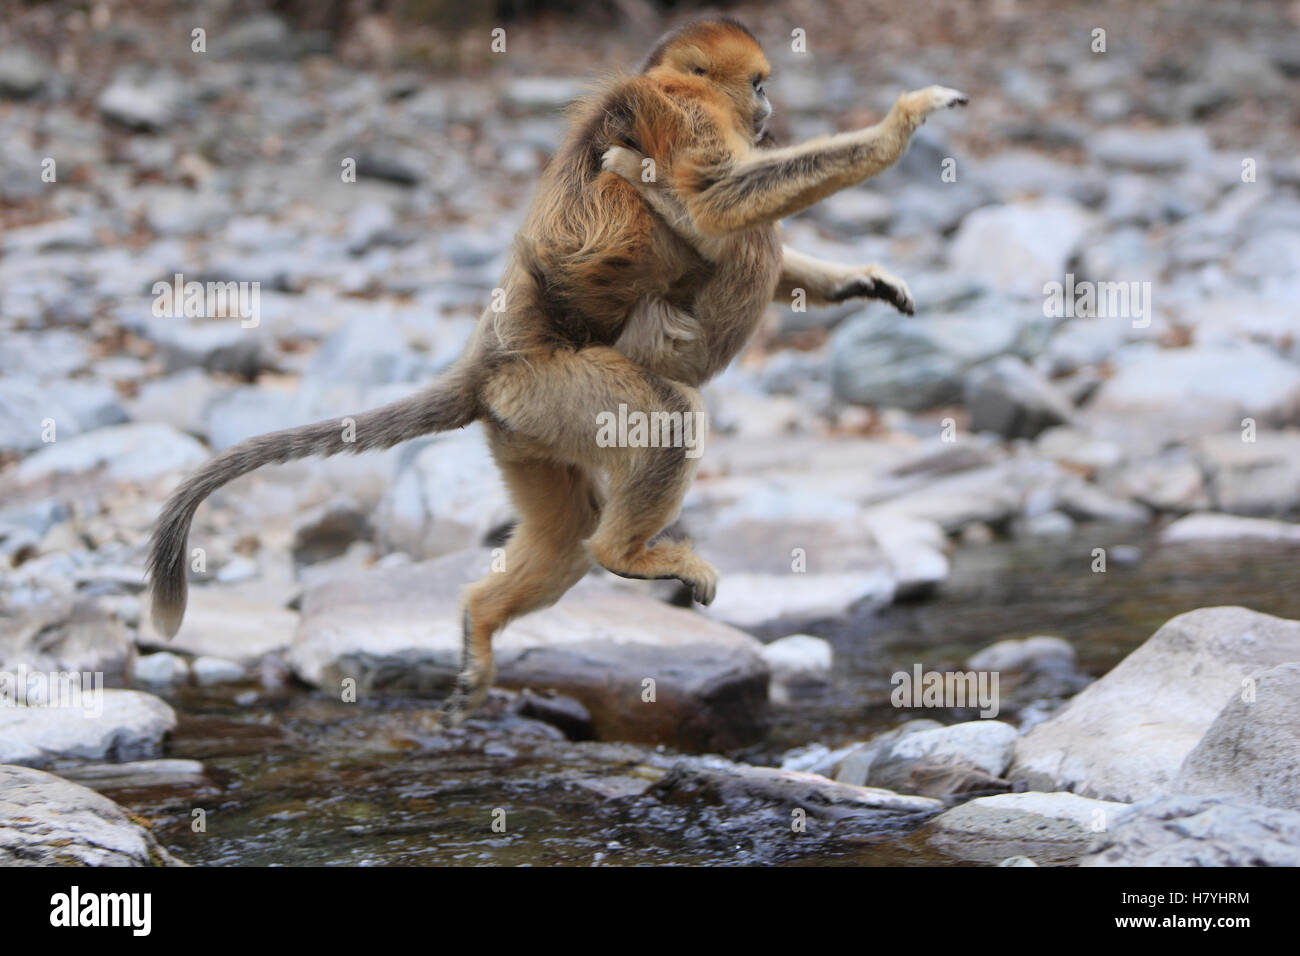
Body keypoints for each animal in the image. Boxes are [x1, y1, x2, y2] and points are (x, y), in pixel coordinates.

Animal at [147, 18, 966, 723]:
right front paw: (900, 125)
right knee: (676, 400)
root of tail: (491, 359)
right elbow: (715, 206)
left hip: (526, 424)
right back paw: (623, 553)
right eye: (758, 83)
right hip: (555, 387)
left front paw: (858, 280)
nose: (770, 108)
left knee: (569, 533)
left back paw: (483, 620)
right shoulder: (685, 113)